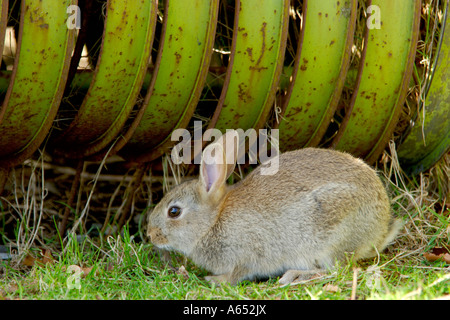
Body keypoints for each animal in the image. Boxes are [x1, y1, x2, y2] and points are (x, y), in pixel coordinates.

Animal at [147, 131, 400, 286]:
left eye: (174, 212)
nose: (150, 234)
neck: (212, 222)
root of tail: (380, 231)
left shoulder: (246, 254)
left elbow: (237, 274)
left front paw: (215, 280)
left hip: (332, 237)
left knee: (337, 269)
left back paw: (293, 275)